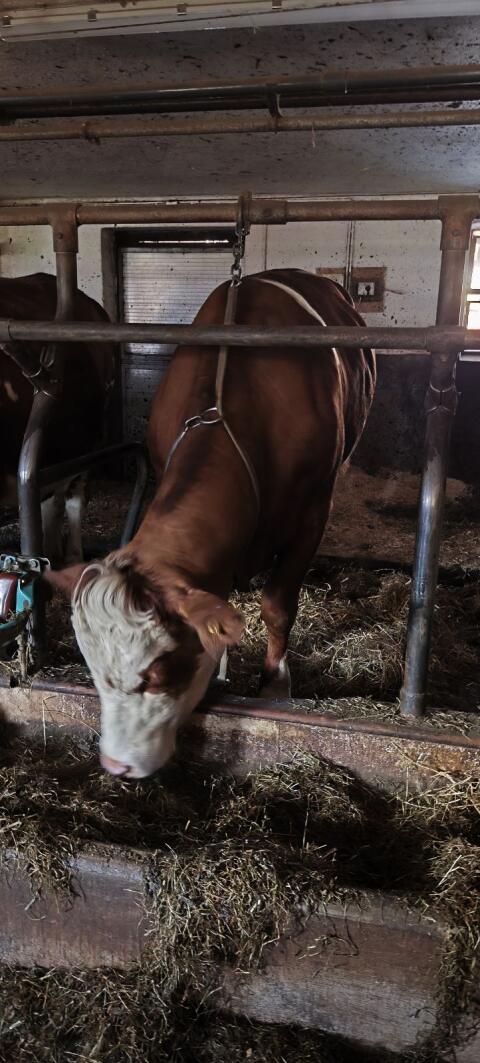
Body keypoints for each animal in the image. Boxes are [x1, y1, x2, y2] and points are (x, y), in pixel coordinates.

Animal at [45, 268, 376, 779]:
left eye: (158, 674)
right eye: (93, 671)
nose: (116, 765)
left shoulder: (313, 512)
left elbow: (277, 606)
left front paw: (274, 684)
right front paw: (221, 666)